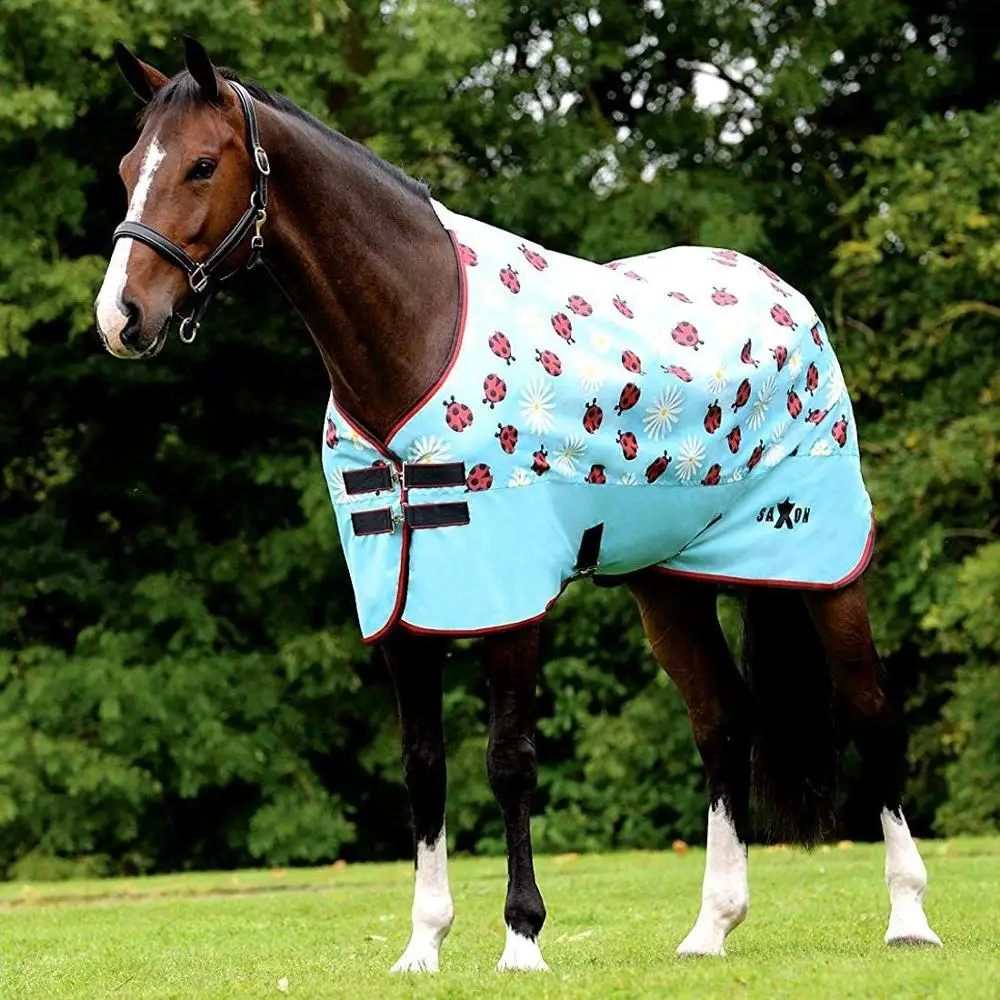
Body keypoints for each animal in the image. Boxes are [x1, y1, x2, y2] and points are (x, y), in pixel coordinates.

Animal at [94, 37, 942, 972]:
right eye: (130, 166)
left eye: (204, 164)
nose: (120, 316)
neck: (419, 334)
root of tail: (779, 290)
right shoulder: (399, 606)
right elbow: (423, 766)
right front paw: (423, 944)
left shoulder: (511, 599)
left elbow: (509, 762)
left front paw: (522, 937)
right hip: (668, 585)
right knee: (722, 721)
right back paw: (710, 928)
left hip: (826, 569)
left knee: (871, 711)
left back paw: (909, 916)